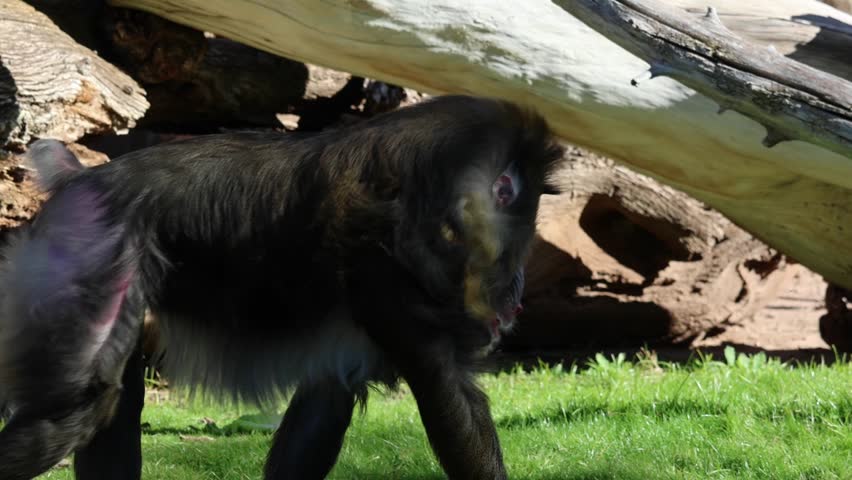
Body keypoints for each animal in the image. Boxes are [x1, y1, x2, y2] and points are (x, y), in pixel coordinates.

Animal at [0, 94, 563, 480]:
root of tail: (83, 183)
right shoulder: (388, 275)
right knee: (80, 406)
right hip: (93, 262)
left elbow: (325, 401)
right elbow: (448, 395)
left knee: (113, 405)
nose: (516, 289)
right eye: (516, 205)